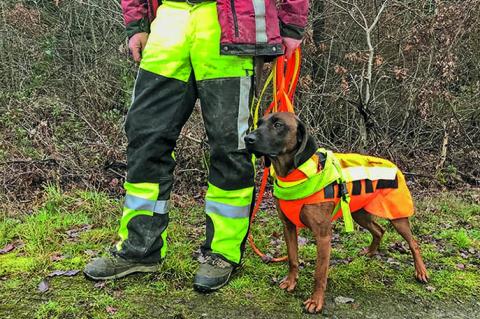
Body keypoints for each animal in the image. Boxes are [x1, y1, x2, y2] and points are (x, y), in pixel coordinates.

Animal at [244, 112, 428, 316]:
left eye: (278, 124)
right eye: (259, 123)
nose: (247, 139)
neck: (295, 174)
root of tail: (393, 164)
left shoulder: (323, 235)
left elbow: (319, 273)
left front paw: (316, 301)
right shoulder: (288, 227)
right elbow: (292, 259)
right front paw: (291, 282)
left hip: (397, 216)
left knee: (413, 243)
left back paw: (421, 271)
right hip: (359, 213)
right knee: (379, 230)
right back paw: (370, 252)